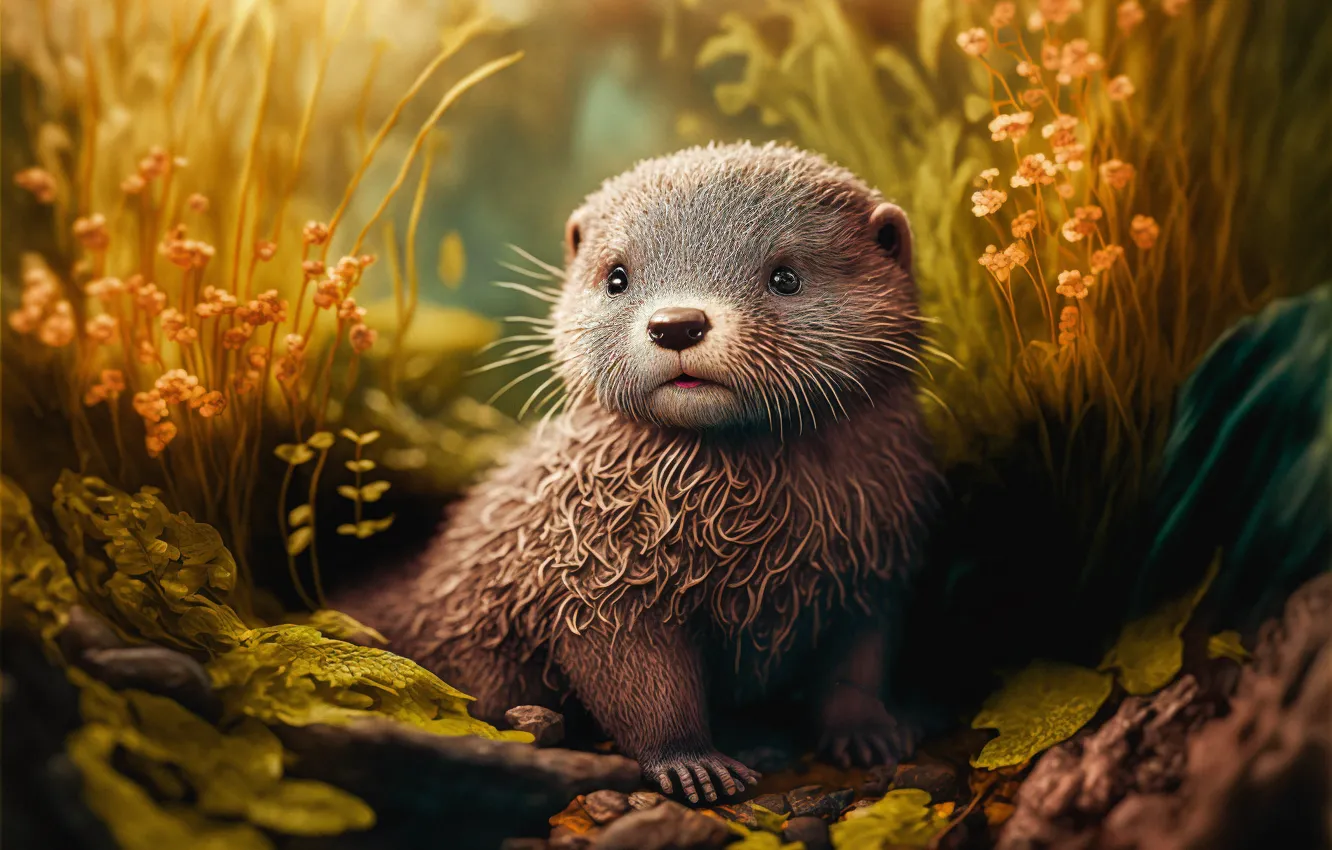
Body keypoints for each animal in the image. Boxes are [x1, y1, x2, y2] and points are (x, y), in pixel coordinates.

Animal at [343, 142, 941, 803]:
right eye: (617, 276)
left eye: (785, 276)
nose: (676, 322)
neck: (758, 538)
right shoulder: (595, 576)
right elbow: (642, 687)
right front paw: (691, 763)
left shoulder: (874, 567)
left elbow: (857, 668)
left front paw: (871, 735)